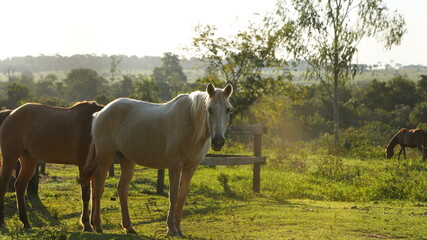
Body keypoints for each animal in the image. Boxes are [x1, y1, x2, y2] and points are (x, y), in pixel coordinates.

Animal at [0, 101, 103, 231]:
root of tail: (10, 113)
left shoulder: (96, 169)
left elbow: (95, 195)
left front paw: (96, 225)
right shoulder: (83, 166)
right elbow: (86, 195)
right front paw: (86, 224)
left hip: (29, 161)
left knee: (20, 187)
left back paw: (26, 223)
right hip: (10, 158)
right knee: (4, 185)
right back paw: (2, 222)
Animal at [81, 82, 234, 236]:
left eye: (228, 110)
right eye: (209, 109)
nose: (218, 141)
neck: (190, 122)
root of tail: (100, 113)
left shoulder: (191, 168)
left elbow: (182, 196)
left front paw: (179, 229)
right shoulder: (175, 166)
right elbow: (174, 195)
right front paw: (171, 229)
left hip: (126, 160)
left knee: (122, 189)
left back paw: (128, 226)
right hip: (105, 158)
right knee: (98, 188)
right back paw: (98, 225)